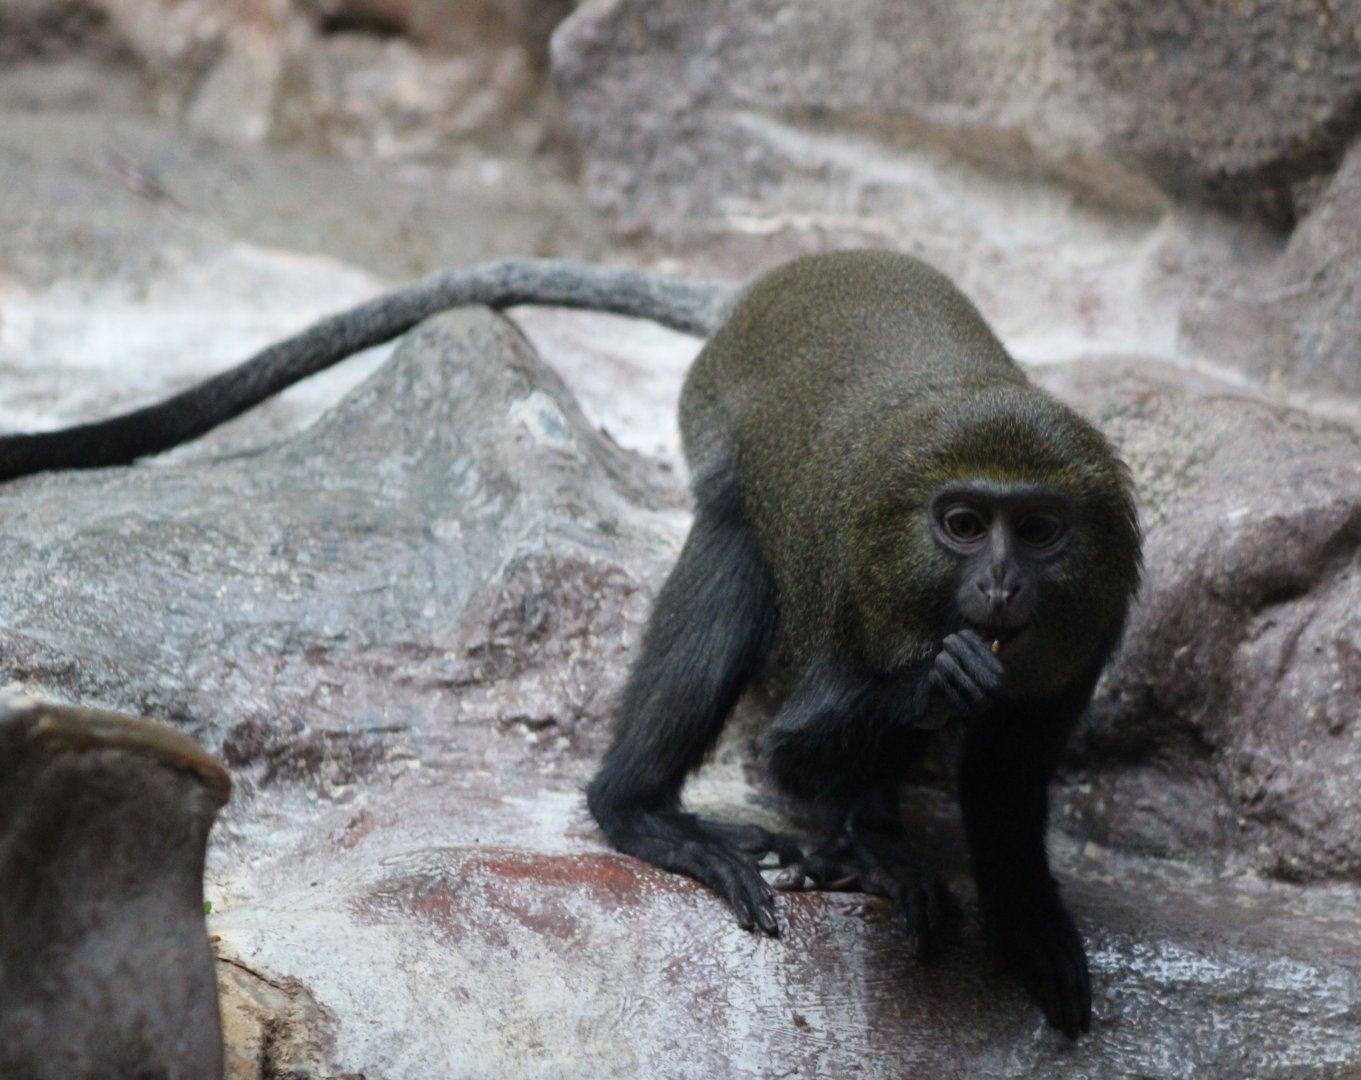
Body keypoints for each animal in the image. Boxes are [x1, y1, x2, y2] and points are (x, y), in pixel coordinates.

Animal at [0, 250, 1141, 1037]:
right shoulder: (856, 586)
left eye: (1038, 530)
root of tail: (774, 283)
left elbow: (1011, 778)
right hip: (712, 437)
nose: (997, 585)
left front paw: (1024, 911)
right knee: (730, 556)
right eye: (963, 524)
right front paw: (899, 756)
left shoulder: (1084, 634)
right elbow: (795, 749)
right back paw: (646, 813)